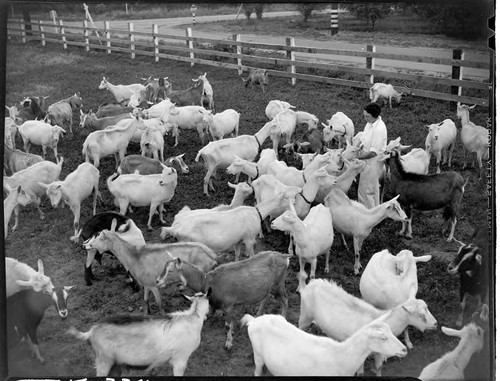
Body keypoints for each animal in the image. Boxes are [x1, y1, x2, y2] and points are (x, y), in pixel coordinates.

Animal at [85, 218, 217, 314]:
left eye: (101, 238)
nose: (87, 245)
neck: (134, 257)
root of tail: (212, 255)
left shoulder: (153, 284)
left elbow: (159, 303)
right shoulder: (146, 284)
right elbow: (145, 300)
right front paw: (147, 313)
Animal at [156, 251, 290, 348]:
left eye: (170, 271)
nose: (157, 281)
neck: (207, 281)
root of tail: (284, 256)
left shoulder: (228, 306)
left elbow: (227, 325)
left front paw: (228, 343)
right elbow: (230, 322)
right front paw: (232, 331)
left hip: (279, 284)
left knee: (285, 300)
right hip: (269, 287)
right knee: (266, 298)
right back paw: (258, 314)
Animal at [298, 276, 436, 374]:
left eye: (427, 307)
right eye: (421, 315)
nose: (435, 323)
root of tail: (310, 284)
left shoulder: (379, 352)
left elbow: (379, 367)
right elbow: (360, 373)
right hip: (304, 316)